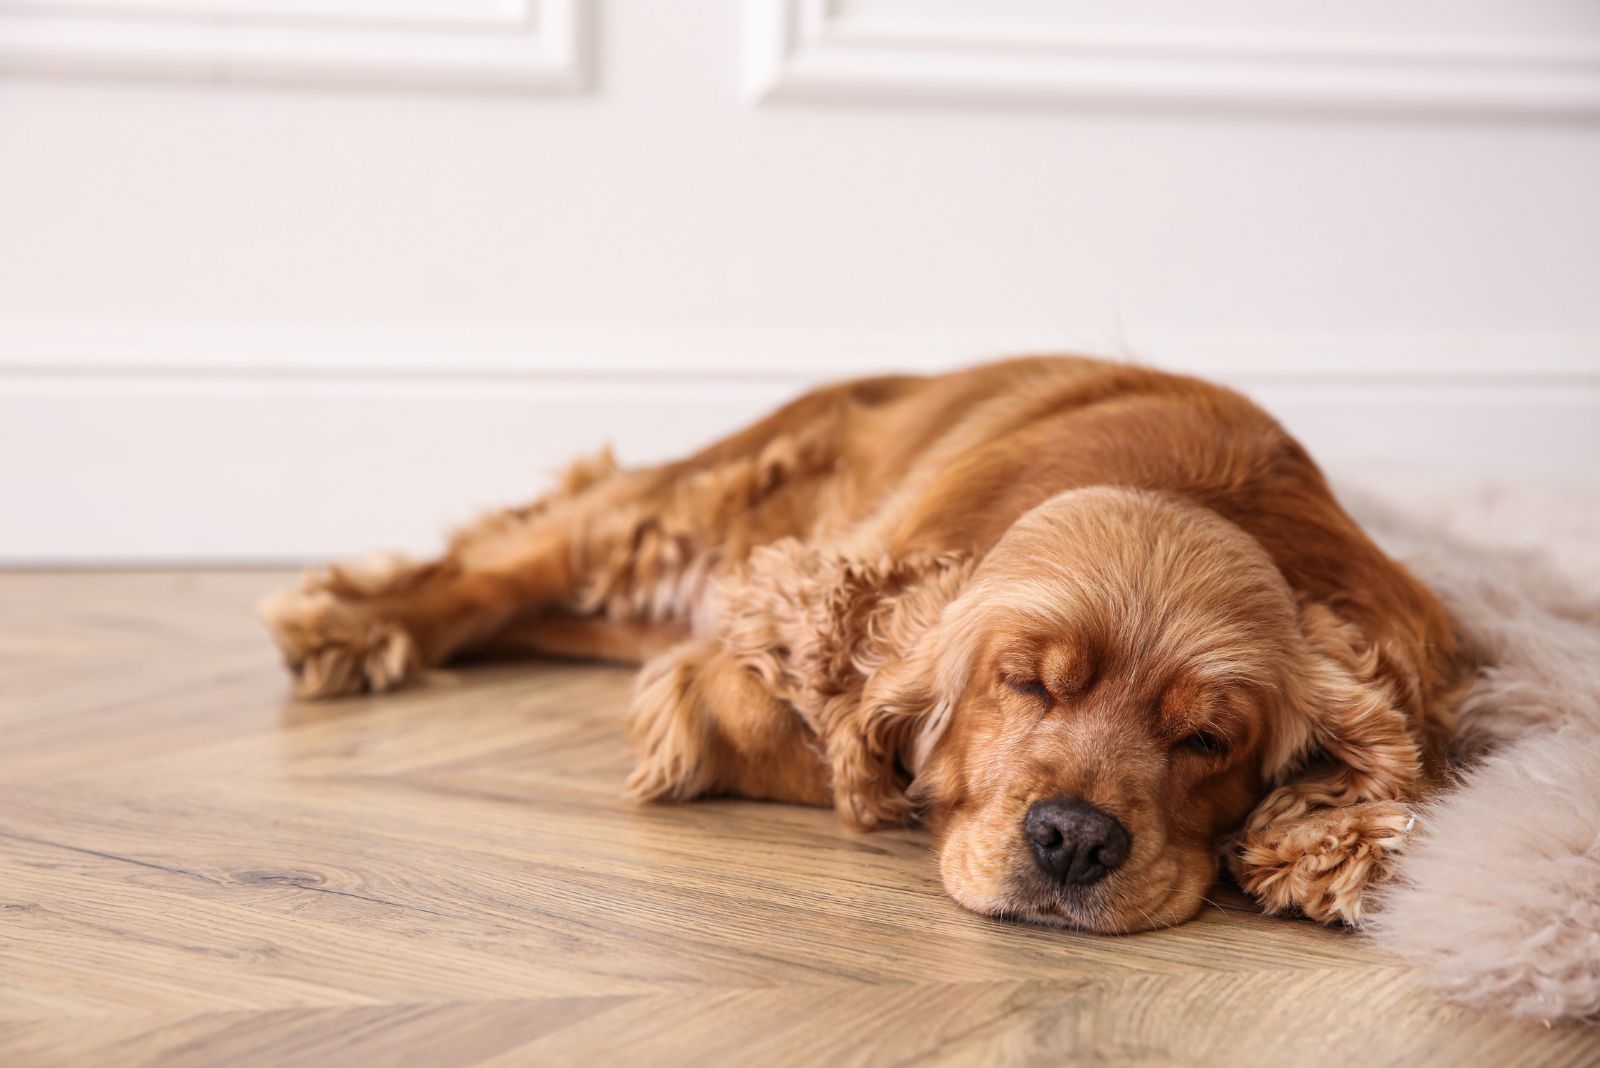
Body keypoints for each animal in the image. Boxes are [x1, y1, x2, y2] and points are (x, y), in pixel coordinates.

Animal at [265, 354, 1472, 927]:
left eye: (1210, 741)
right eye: (1023, 684)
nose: (1074, 842)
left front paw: (1324, 843)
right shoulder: (751, 649)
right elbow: (801, 738)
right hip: (696, 500)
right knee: (507, 562)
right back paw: (351, 623)